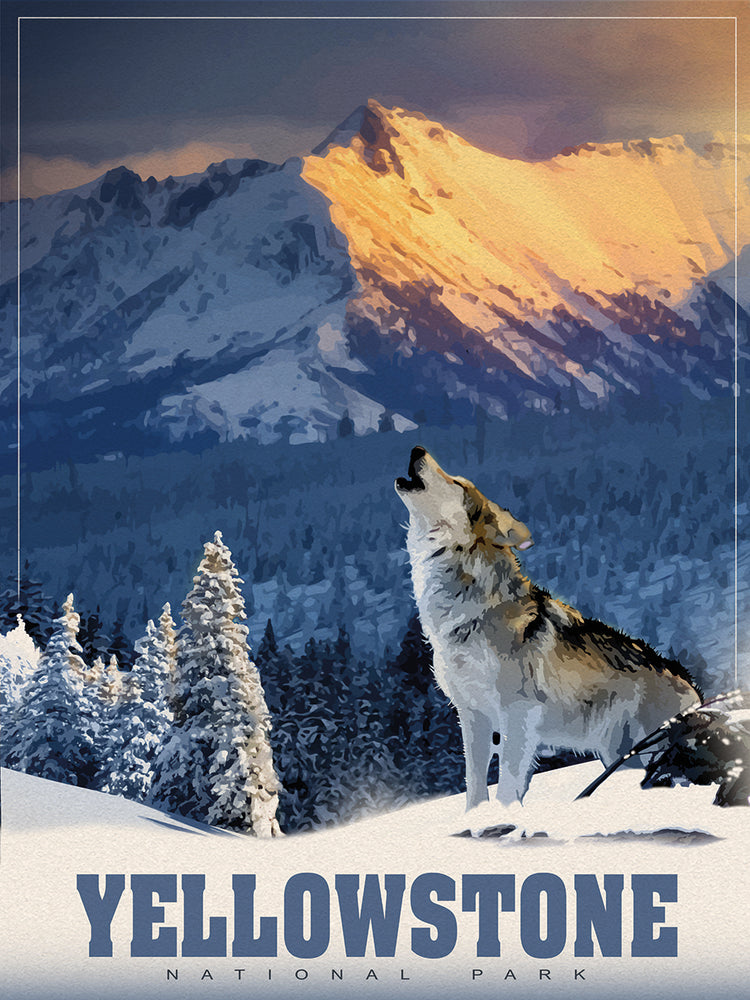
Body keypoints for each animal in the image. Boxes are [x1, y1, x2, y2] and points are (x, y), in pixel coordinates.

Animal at [395, 446, 701, 810]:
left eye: (456, 482)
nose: (416, 449)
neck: (468, 613)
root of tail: (694, 687)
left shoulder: (517, 716)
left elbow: (507, 788)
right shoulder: (473, 716)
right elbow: (475, 788)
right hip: (617, 756)